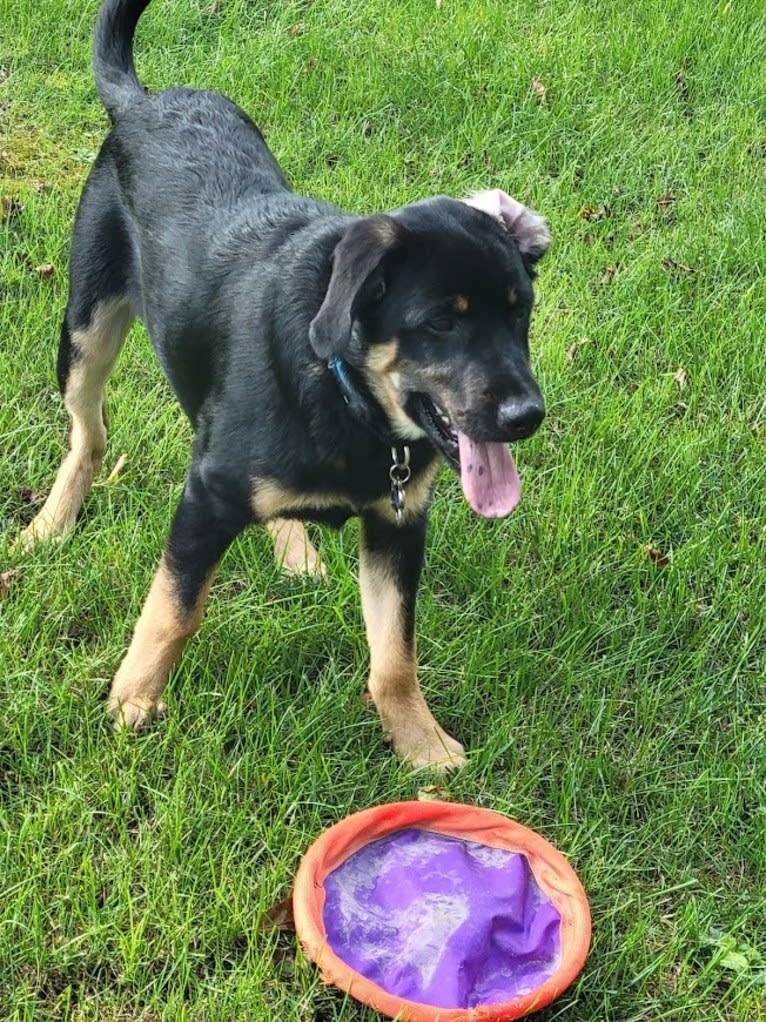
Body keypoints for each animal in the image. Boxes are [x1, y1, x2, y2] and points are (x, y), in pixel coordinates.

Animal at [22, 0, 551, 768]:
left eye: (520, 314)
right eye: (440, 323)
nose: (526, 415)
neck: (348, 397)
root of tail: (141, 100)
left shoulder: (399, 522)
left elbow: (394, 655)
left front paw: (423, 747)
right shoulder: (206, 496)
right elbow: (174, 609)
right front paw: (132, 703)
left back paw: (294, 548)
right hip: (86, 327)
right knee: (87, 433)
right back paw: (49, 525)